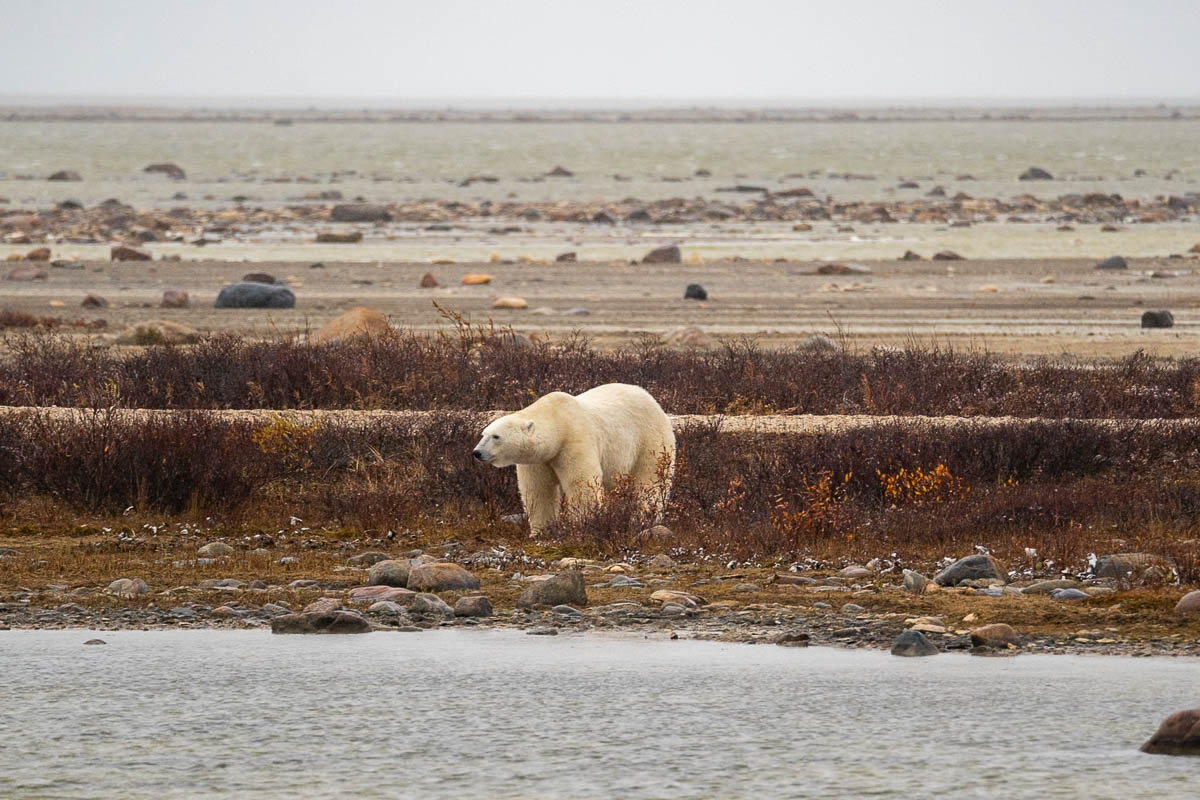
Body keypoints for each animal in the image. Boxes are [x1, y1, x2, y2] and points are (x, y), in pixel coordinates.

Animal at [470, 383, 676, 534]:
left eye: (496, 436)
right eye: (483, 434)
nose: (477, 452)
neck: (557, 420)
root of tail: (655, 403)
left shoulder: (574, 439)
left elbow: (581, 482)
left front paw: (581, 523)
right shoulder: (538, 460)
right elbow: (539, 489)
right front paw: (540, 530)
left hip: (650, 439)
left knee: (650, 481)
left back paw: (644, 517)